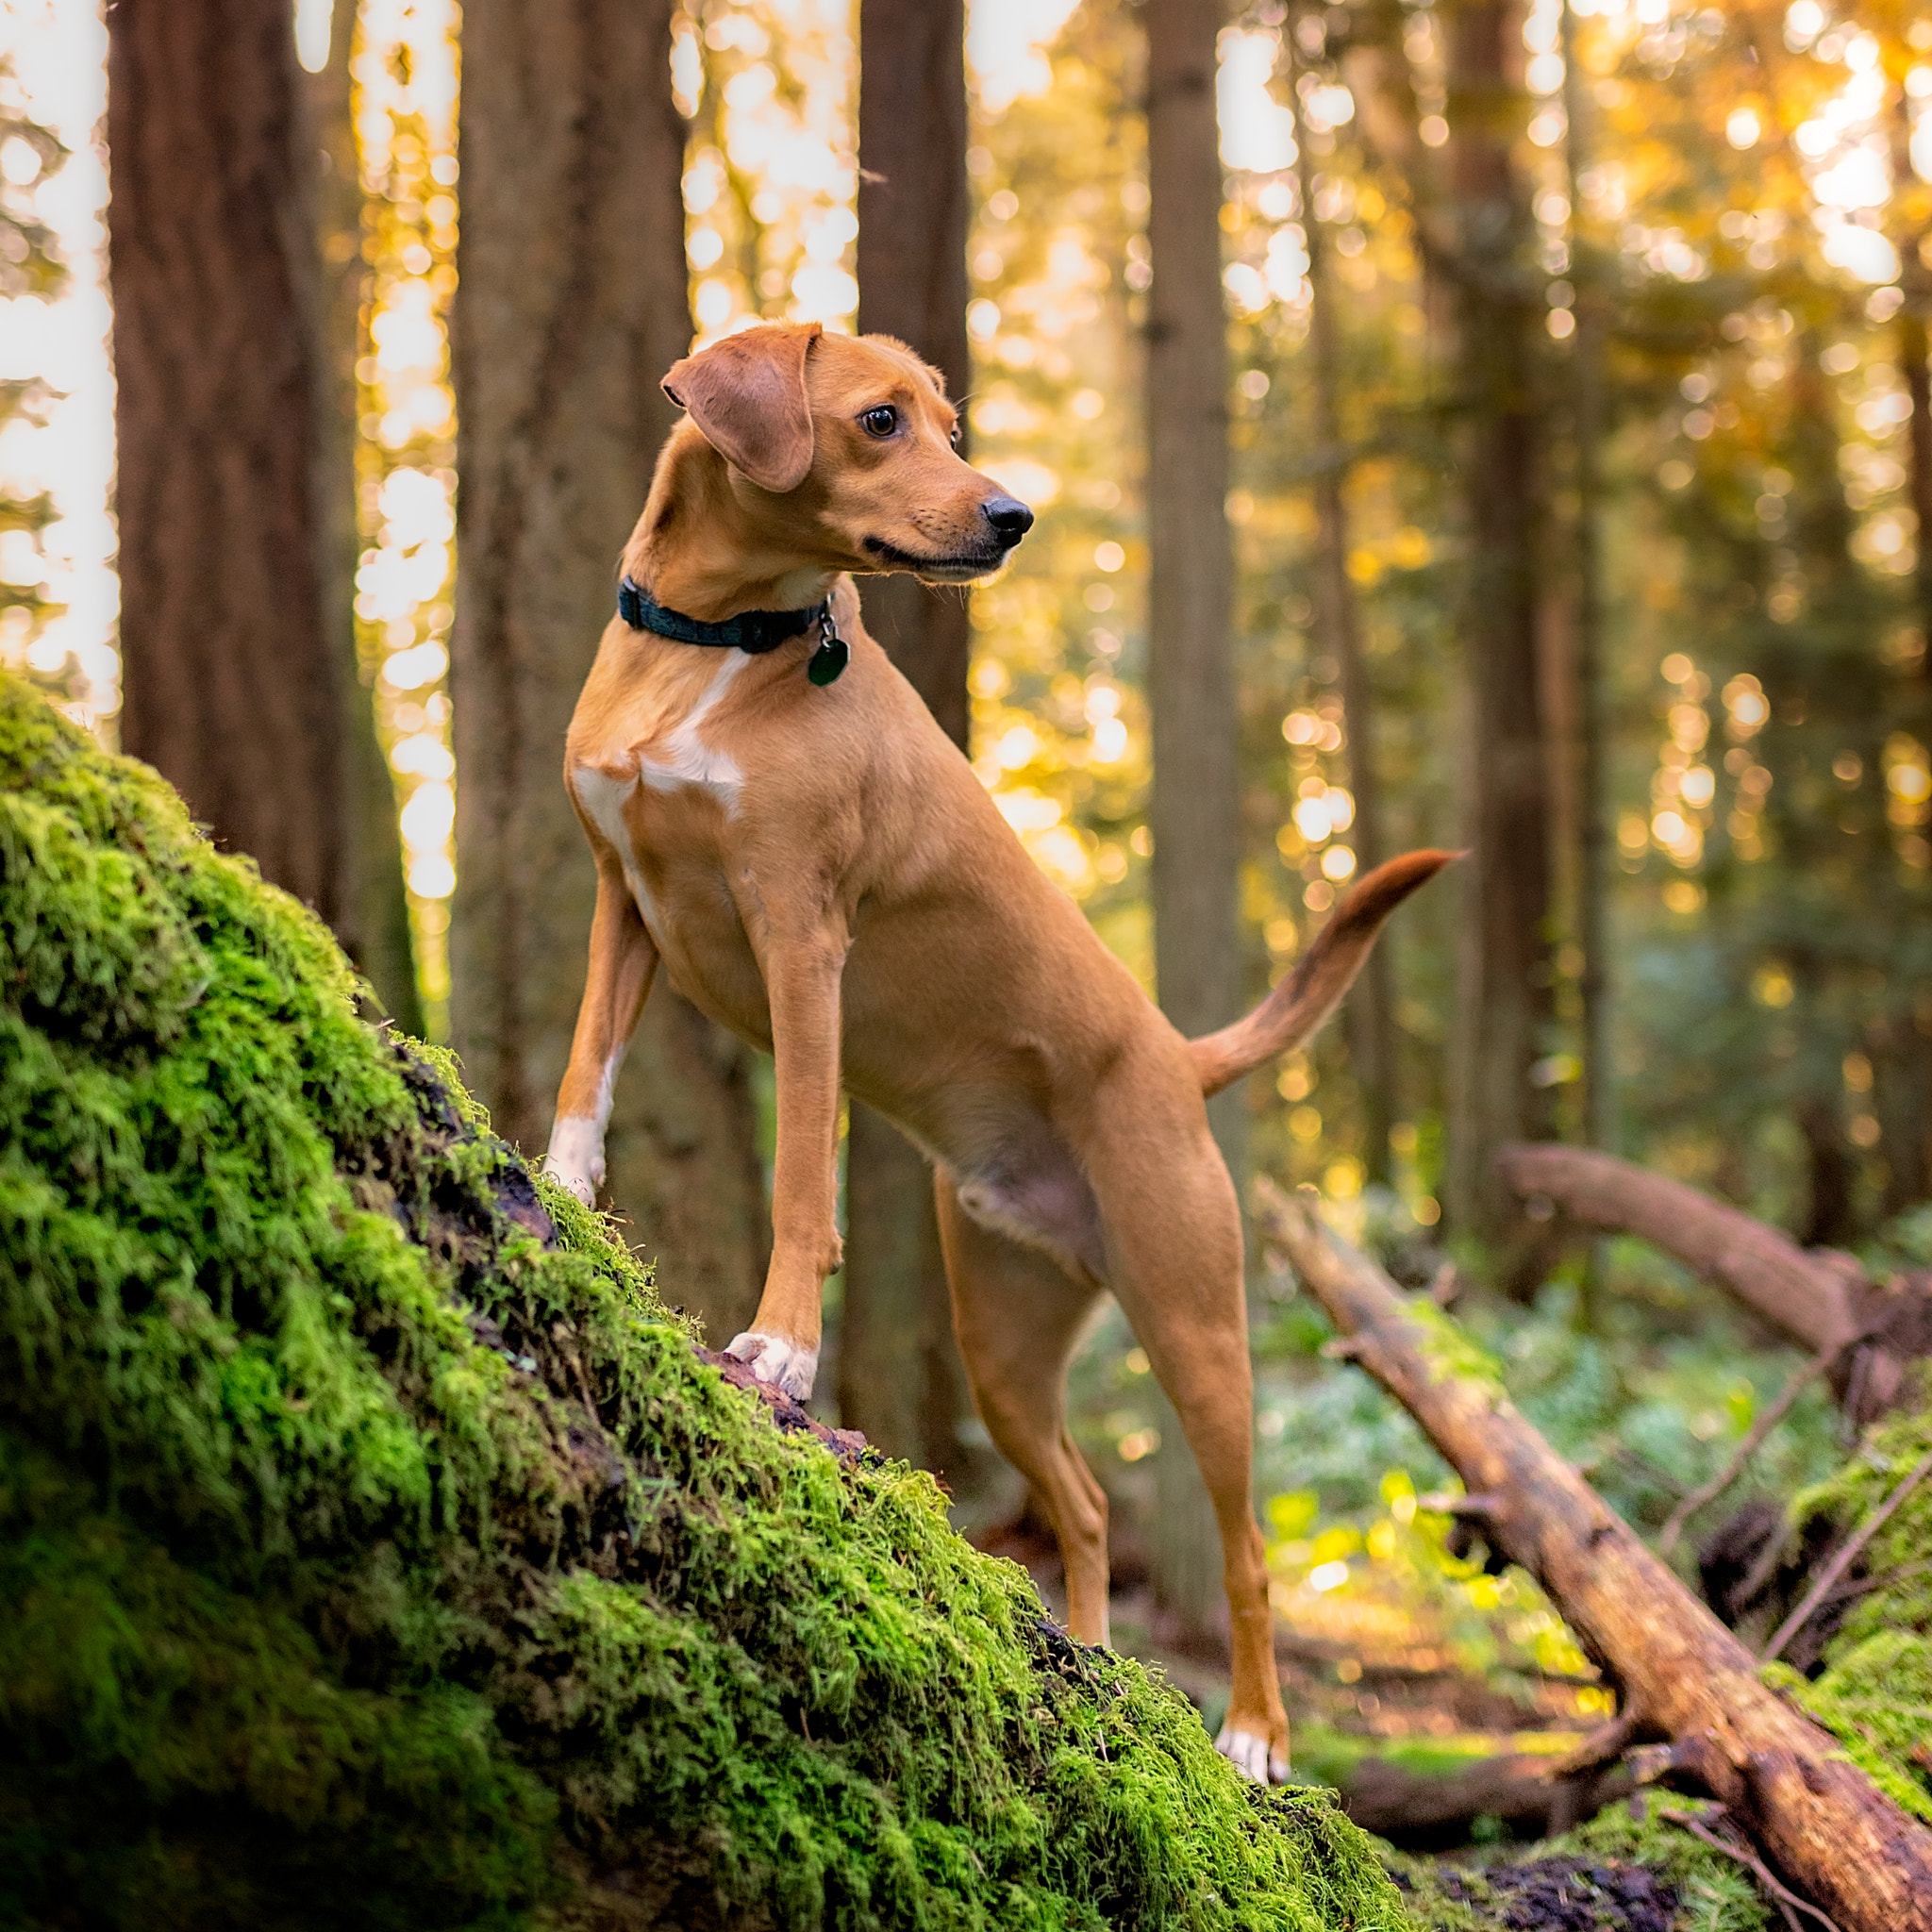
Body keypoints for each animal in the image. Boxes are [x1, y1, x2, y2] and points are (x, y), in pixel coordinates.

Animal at [544, 320, 1453, 1777]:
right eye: (879, 422)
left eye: (949, 424)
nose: (1015, 515)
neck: (715, 644)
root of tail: (1178, 1058)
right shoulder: (620, 900)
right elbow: (586, 1067)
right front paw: (563, 1186)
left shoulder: (802, 939)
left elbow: (800, 1181)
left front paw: (781, 1348)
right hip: (1004, 1345)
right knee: (1081, 1505)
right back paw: (1088, 1657)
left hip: (1197, 1328)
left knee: (1246, 1551)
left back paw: (1253, 1735)